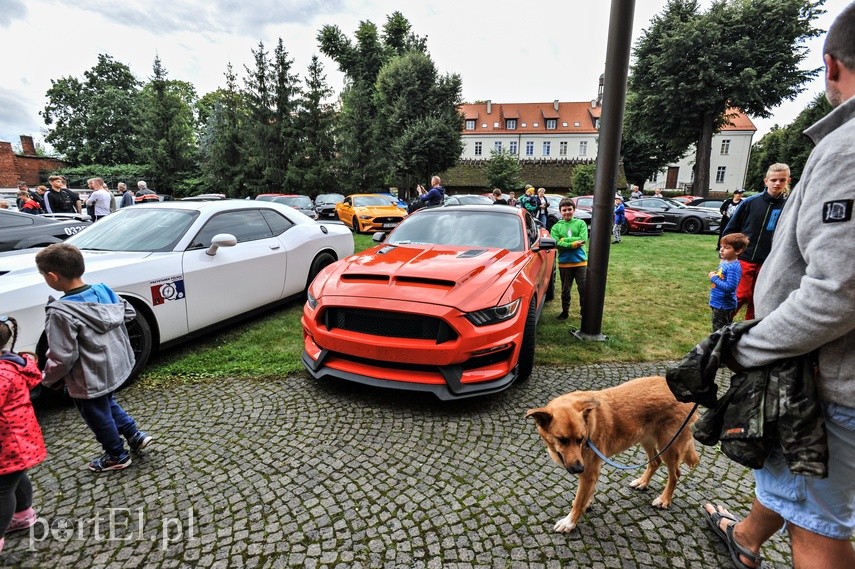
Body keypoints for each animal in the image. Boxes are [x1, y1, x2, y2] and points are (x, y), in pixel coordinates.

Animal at [524, 374, 700, 532]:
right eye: (562, 440)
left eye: (581, 439)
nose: (579, 468)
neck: (589, 425)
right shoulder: (592, 471)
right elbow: (588, 493)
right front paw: (587, 503)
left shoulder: (589, 472)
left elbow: (579, 501)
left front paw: (570, 522)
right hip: (647, 440)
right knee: (655, 462)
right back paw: (643, 483)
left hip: (668, 447)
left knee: (675, 474)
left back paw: (664, 499)